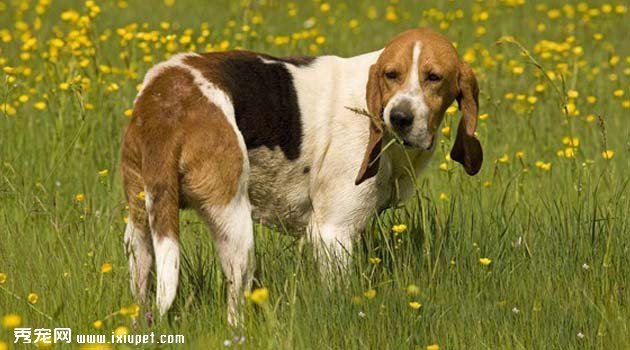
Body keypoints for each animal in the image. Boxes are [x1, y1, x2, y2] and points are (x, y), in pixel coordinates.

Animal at [119, 28, 484, 326]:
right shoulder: (333, 233)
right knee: (234, 309)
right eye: (391, 75)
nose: (399, 117)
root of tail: (164, 100)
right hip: (236, 228)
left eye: (434, 77)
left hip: (141, 228)